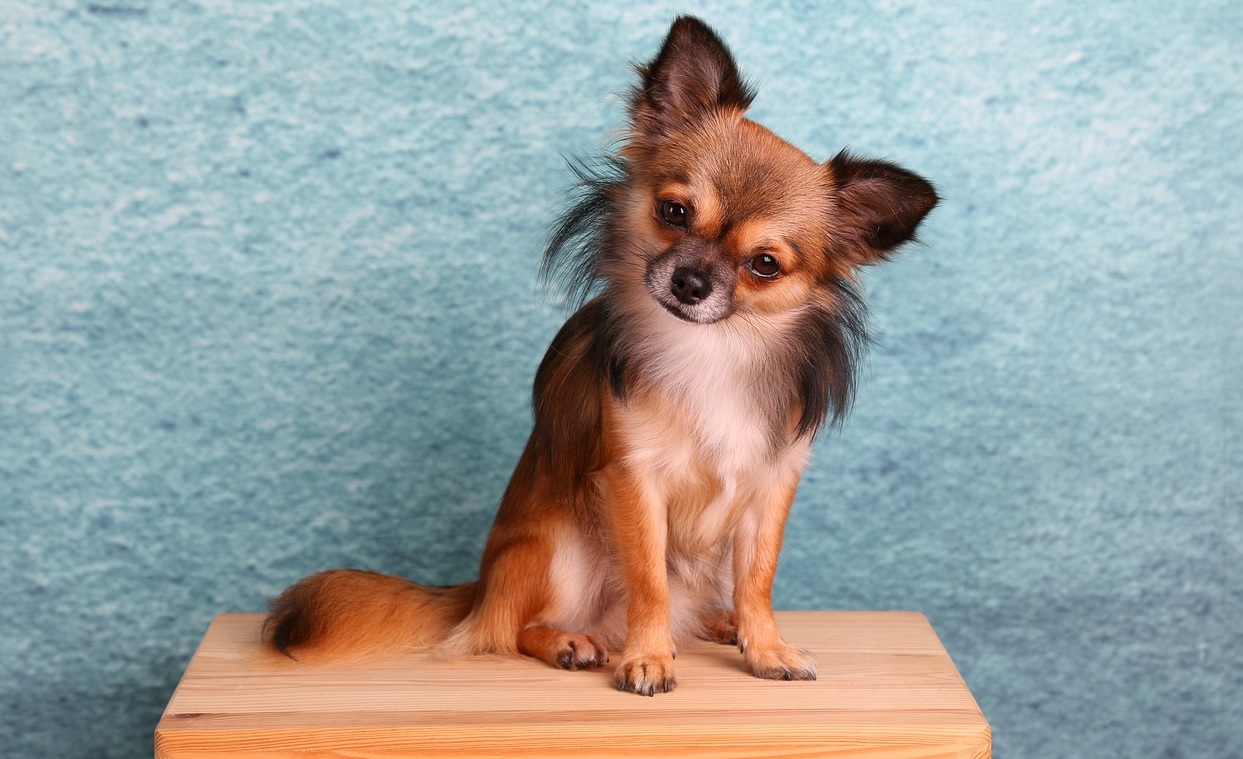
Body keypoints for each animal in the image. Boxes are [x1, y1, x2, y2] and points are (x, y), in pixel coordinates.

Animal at [264, 15, 937, 696]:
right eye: (674, 211)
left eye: (765, 265)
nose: (691, 282)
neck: (713, 349)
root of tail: (478, 590)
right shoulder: (635, 480)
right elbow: (648, 582)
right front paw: (649, 658)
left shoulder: (771, 485)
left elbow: (757, 581)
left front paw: (766, 647)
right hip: (558, 550)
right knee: (510, 630)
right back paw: (570, 641)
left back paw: (720, 624)